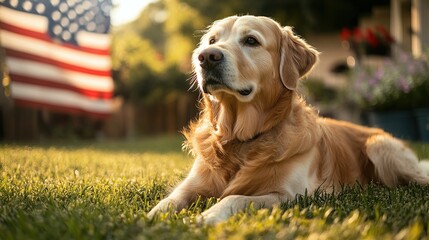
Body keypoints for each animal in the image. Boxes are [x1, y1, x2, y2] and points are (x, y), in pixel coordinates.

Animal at [147, 15, 428, 224]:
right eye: (212, 40)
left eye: (251, 40)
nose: (206, 56)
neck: (240, 140)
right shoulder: (191, 185)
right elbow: (169, 201)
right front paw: (149, 218)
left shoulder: (289, 195)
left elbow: (235, 197)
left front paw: (208, 215)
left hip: (379, 146)